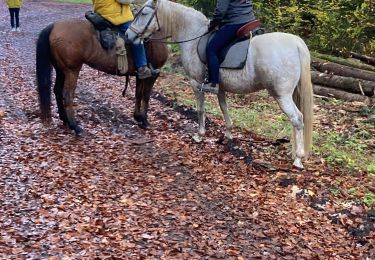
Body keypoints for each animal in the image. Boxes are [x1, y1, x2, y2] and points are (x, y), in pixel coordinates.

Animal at [36, 18, 168, 134]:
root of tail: (53, 26)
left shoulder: (141, 75)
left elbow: (138, 95)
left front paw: (138, 117)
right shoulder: (153, 75)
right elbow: (146, 96)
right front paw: (144, 120)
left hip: (61, 70)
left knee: (57, 91)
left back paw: (65, 120)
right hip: (71, 70)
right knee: (67, 95)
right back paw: (75, 127)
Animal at [126, 0, 314, 169]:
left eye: (144, 14)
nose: (128, 36)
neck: (193, 36)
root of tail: (296, 43)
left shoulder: (196, 84)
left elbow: (200, 109)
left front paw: (199, 135)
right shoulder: (221, 88)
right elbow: (224, 108)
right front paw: (228, 134)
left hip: (281, 95)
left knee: (297, 119)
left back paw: (298, 159)